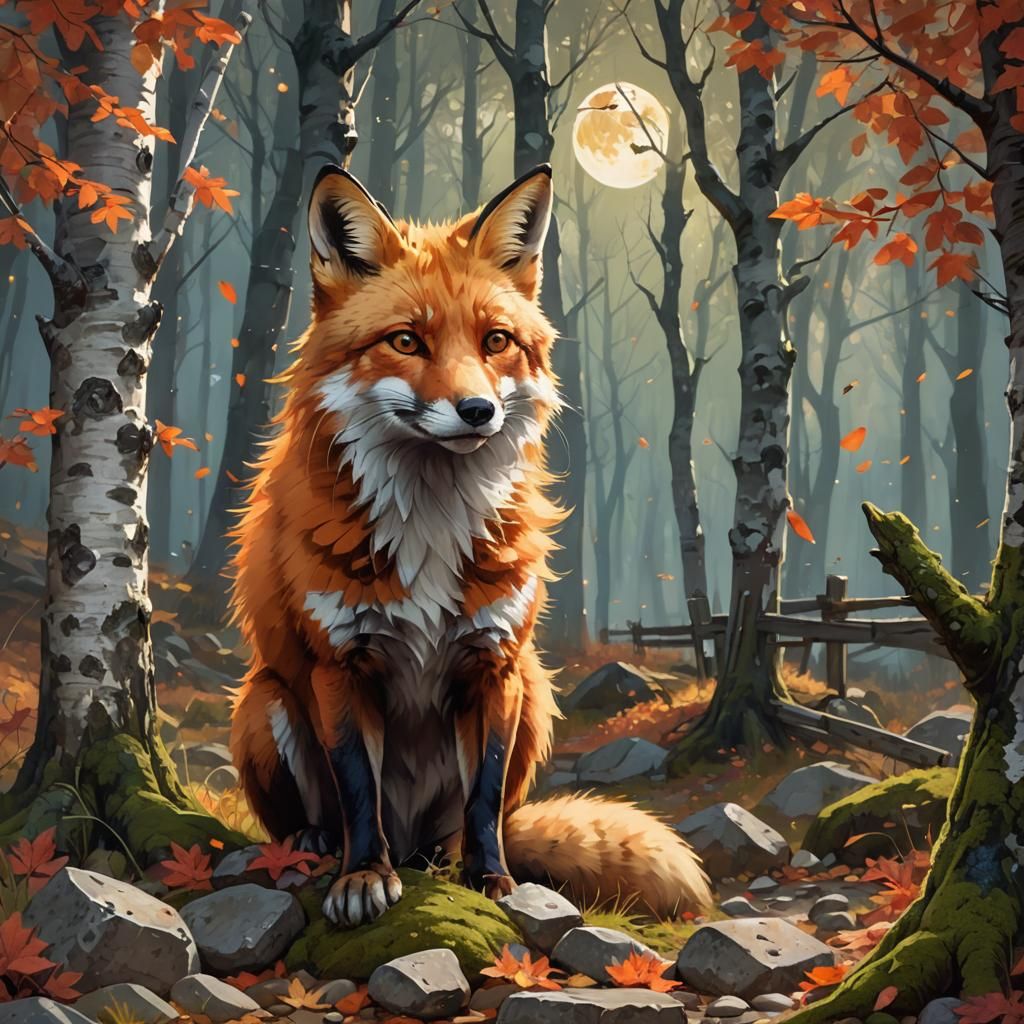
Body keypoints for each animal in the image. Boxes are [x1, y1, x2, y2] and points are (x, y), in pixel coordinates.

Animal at [228, 162, 712, 928]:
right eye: (406, 341)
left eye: (495, 341)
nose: (477, 410)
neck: (429, 524)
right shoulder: (339, 664)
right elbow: (357, 790)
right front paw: (361, 876)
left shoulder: (495, 664)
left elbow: (483, 799)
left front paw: (491, 881)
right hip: (263, 699)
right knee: (321, 815)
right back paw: (316, 847)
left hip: (536, 692)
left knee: (469, 827)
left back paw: (444, 861)